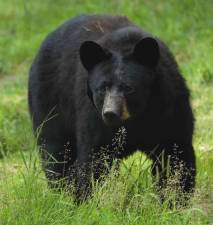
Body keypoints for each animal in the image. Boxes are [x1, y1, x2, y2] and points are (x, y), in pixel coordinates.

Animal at [28, 14, 196, 202]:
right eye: (102, 88)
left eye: (129, 88)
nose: (110, 113)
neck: (137, 118)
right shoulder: (93, 116)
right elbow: (94, 158)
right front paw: (86, 200)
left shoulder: (169, 108)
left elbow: (174, 154)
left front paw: (173, 200)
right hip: (50, 101)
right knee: (55, 151)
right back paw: (62, 193)